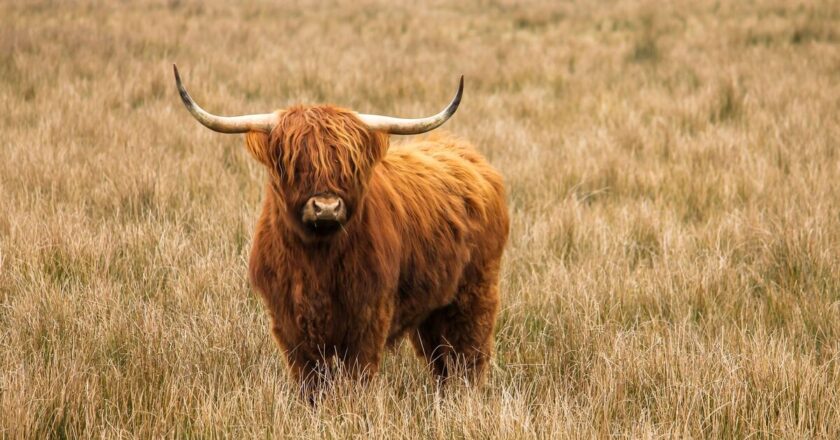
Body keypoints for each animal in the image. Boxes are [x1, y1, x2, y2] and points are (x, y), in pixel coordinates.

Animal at [173, 65, 509, 399]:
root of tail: (465, 153)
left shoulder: (368, 318)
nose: (326, 207)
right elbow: (310, 381)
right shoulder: (288, 322)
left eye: (349, 165)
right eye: (295, 163)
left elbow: (356, 377)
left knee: (469, 355)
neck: (317, 260)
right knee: (439, 359)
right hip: (433, 306)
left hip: (475, 292)